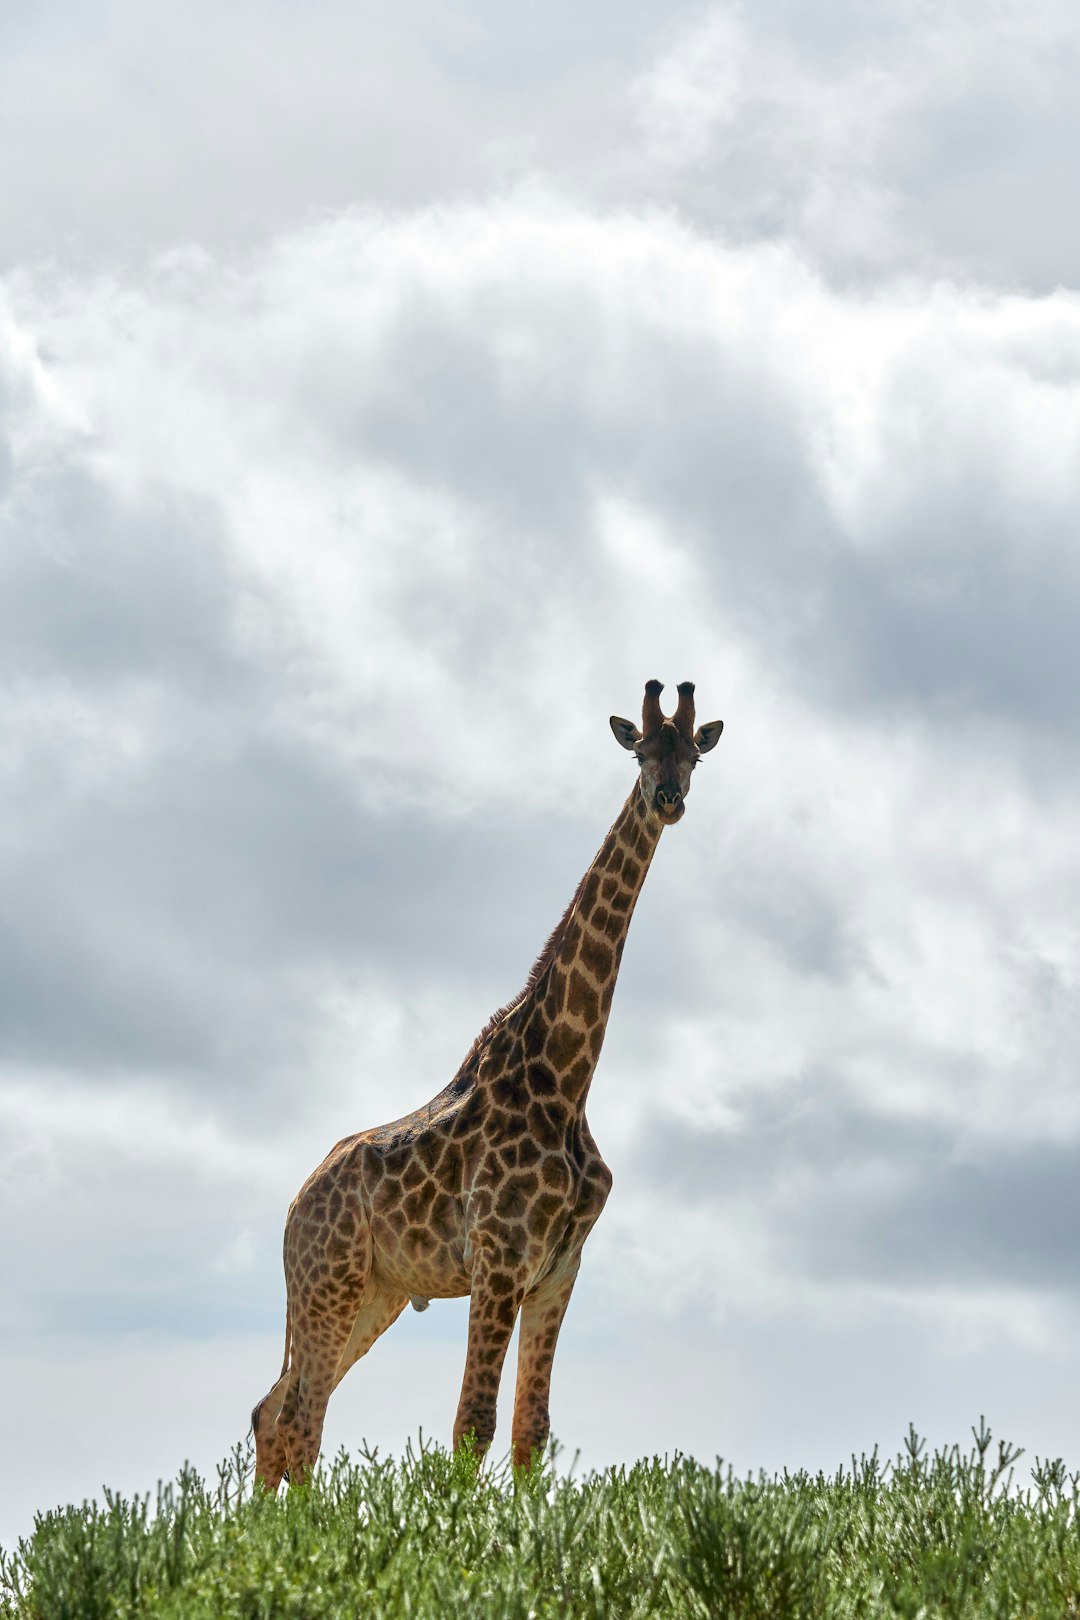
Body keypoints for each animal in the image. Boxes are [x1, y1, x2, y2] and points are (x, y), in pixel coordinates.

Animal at [250, 677, 725, 1483]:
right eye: (640, 752)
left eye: (693, 754)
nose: (668, 798)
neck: (566, 1077)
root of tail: (292, 1207)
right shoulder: (500, 1258)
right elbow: (472, 1424)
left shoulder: (559, 1269)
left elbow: (532, 1431)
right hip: (328, 1282)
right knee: (299, 1419)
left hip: (373, 1292)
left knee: (273, 1411)